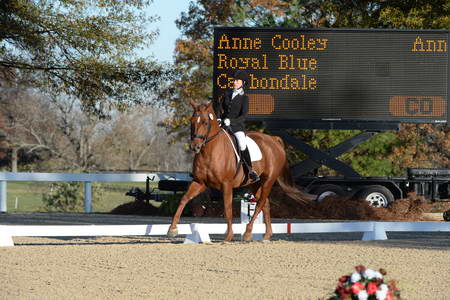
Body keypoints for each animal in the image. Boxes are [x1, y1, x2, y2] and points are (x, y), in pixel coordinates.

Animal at [167, 101, 314, 241]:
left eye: (205, 122)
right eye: (192, 121)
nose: (195, 146)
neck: (209, 152)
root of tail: (273, 139)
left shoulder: (226, 184)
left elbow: (228, 208)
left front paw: (228, 236)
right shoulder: (200, 182)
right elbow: (184, 199)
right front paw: (172, 229)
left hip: (269, 180)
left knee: (260, 203)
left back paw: (248, 232)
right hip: (255, 183)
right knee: (265, 204)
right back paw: (266, 235)